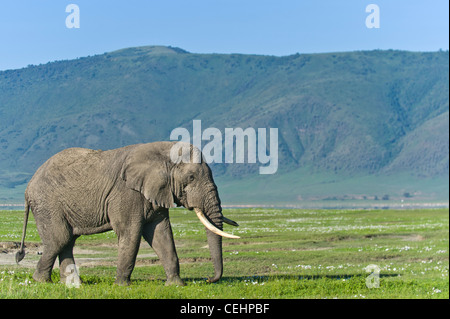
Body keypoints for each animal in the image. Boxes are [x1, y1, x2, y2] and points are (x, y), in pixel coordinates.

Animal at [14, 141, 239, 286]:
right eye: (191, 177)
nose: (208, 279)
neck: (163, 152)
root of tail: (27, 188)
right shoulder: (126, 193)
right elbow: (130, 233)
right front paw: (122, 286)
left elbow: (162, 234)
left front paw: (176, 285)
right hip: (47, 204)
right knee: (59, 240)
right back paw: (42, 282)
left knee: (67, 241)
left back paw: (72, 283)